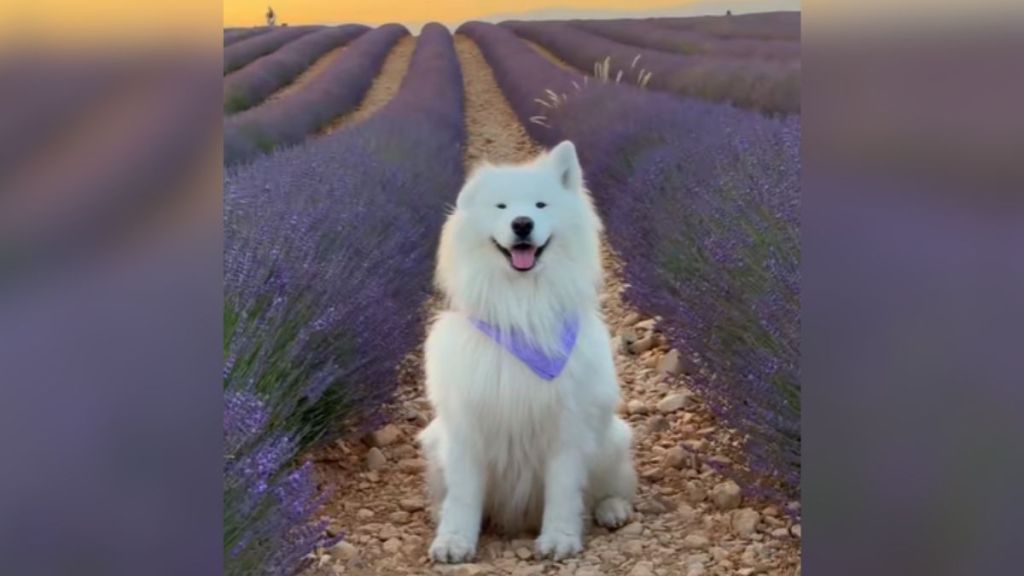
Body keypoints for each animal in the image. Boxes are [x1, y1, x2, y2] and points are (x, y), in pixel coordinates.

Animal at [415, 140, 630, 561]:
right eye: (501, 207)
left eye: (541, 205)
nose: (522, 224)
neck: (523, 312)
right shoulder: (467, 426)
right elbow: (463, 496)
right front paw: (453, 541)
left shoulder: (567, 426)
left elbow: (563, 490)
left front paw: (560, 538)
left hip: (614, 439)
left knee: (611, 488)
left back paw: (613, 509)